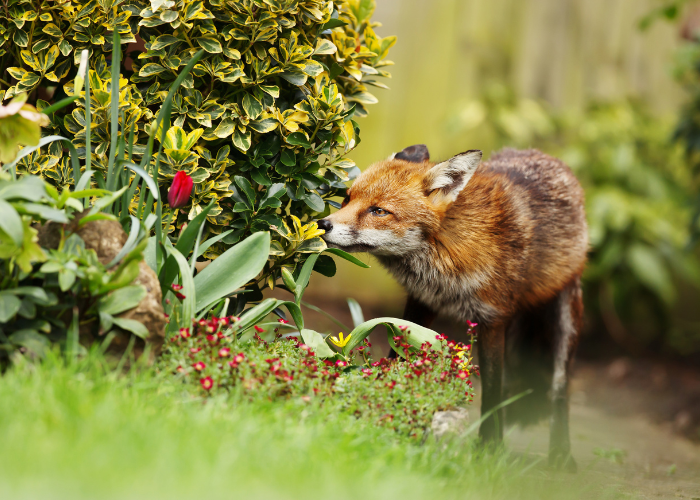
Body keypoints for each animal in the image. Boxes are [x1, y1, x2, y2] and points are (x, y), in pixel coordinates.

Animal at [320, 144, 588, 468]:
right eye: (347, 198)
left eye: (379, 211)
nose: (322, 224)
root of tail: (545, 155)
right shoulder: (421, 303)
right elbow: (398, 360)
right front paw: (388, 408)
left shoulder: (493, 319)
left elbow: (492, 391)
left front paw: (490, 448)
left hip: (565, 320)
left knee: (558, 389)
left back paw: (561, 452)